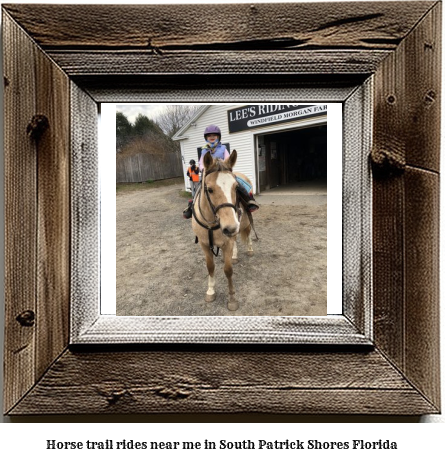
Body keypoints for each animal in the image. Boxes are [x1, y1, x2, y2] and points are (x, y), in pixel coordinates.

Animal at [191, 149, 253, 310]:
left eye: (236, 187)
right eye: (210, 189)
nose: (230, 226)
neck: (212, 223)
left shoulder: (227, 242)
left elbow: (228, 270)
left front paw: (232, 298)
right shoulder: (204, 244)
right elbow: (210, 267)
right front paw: (210, 291)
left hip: (245, 223)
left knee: (248, 233)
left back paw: (249, 250)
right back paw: (234, 256)